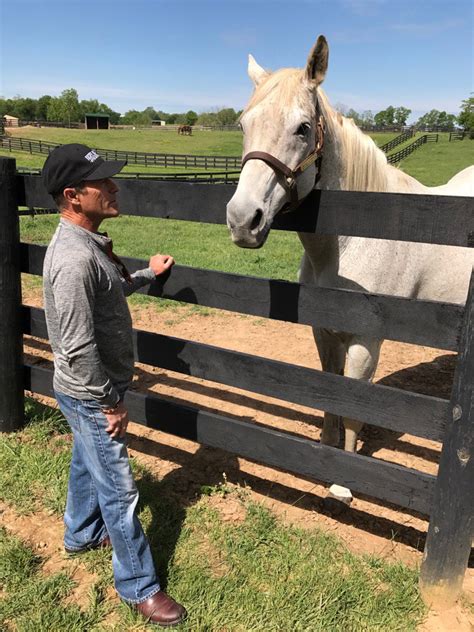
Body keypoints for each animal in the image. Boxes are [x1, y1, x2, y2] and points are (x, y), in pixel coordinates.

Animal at [227, 37, 474, 506]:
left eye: (303, 128)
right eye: (243, 123)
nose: (242, 219)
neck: (351, 243)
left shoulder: (366, 342)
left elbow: (355, 407)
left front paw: (343, 483)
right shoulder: (324, 332)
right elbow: (330, 394)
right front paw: (324, 452)